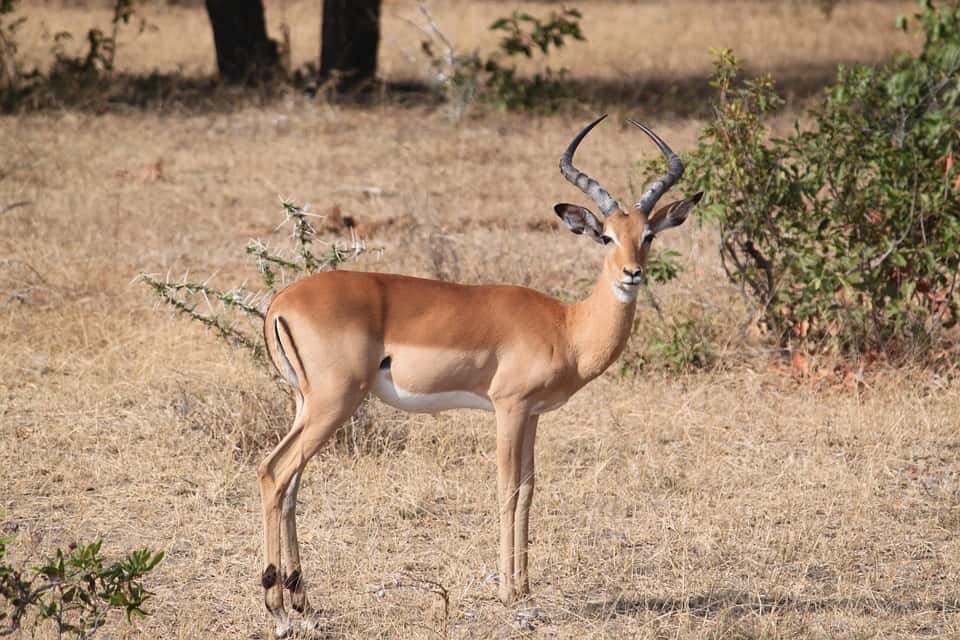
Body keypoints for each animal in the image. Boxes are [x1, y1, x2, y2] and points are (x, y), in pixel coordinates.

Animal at [259, 114, 702, 636]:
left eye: (648, 234)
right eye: (606, 236)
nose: (632, 274)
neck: (566, 326)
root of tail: (281, 301)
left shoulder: (534, 414)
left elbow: (529, 490)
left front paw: (525, 589)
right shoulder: (508, 408)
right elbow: (507, 489)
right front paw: (510, 594)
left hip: (307, 404)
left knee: (291, 486)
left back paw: (301, 601)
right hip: (334, 402)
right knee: (274, 472)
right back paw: (277, 608)